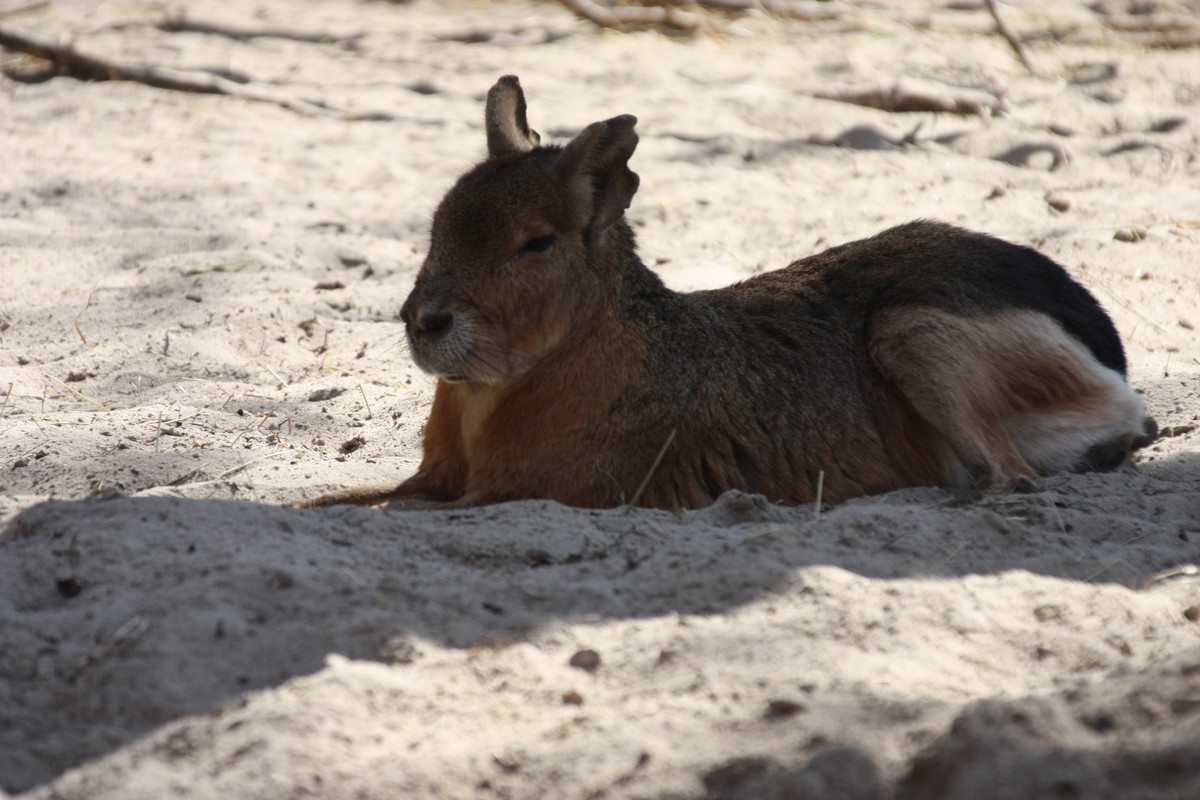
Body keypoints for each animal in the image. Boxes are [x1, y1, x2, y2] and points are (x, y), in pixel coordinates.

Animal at [300, 75, 1156, 510]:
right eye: (438, 223)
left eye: (536, 242)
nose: (424, 321)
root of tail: (1097, 327)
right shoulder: (430, 482)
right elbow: (333, 500)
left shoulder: (535, 494)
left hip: (911, 330)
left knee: (1015, 477)